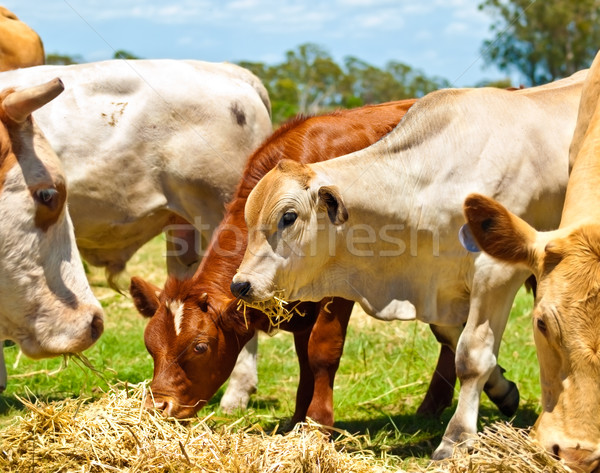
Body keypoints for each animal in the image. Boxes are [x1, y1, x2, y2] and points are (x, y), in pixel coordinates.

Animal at [130, 98, 468, 420]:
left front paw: (318, 422)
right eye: (149, 344)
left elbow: (322, 351)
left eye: (200, 346)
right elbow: (304, 357)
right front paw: (296, 419)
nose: (158, 406)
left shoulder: (338, 290)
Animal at [233, 70, 584, 458]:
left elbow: (472, 356)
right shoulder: (443, 288)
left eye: (289, 216)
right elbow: (452, 338)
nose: (241, 284)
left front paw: (455, 438)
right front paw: (504, 391)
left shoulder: (497, 275)